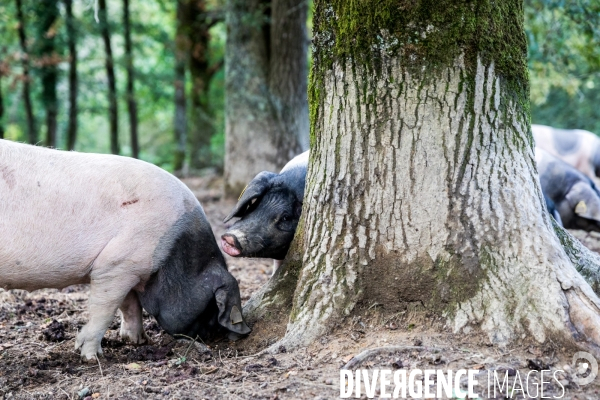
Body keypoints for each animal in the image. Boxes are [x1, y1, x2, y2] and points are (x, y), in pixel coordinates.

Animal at [0, 139, 251, 360]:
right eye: (211, 307)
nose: (209, 339)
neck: (174, 253)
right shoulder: (116, 265)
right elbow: (104, 310)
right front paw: (92, 358)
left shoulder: (129, 270)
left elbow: (130, 305)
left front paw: (139, 341)